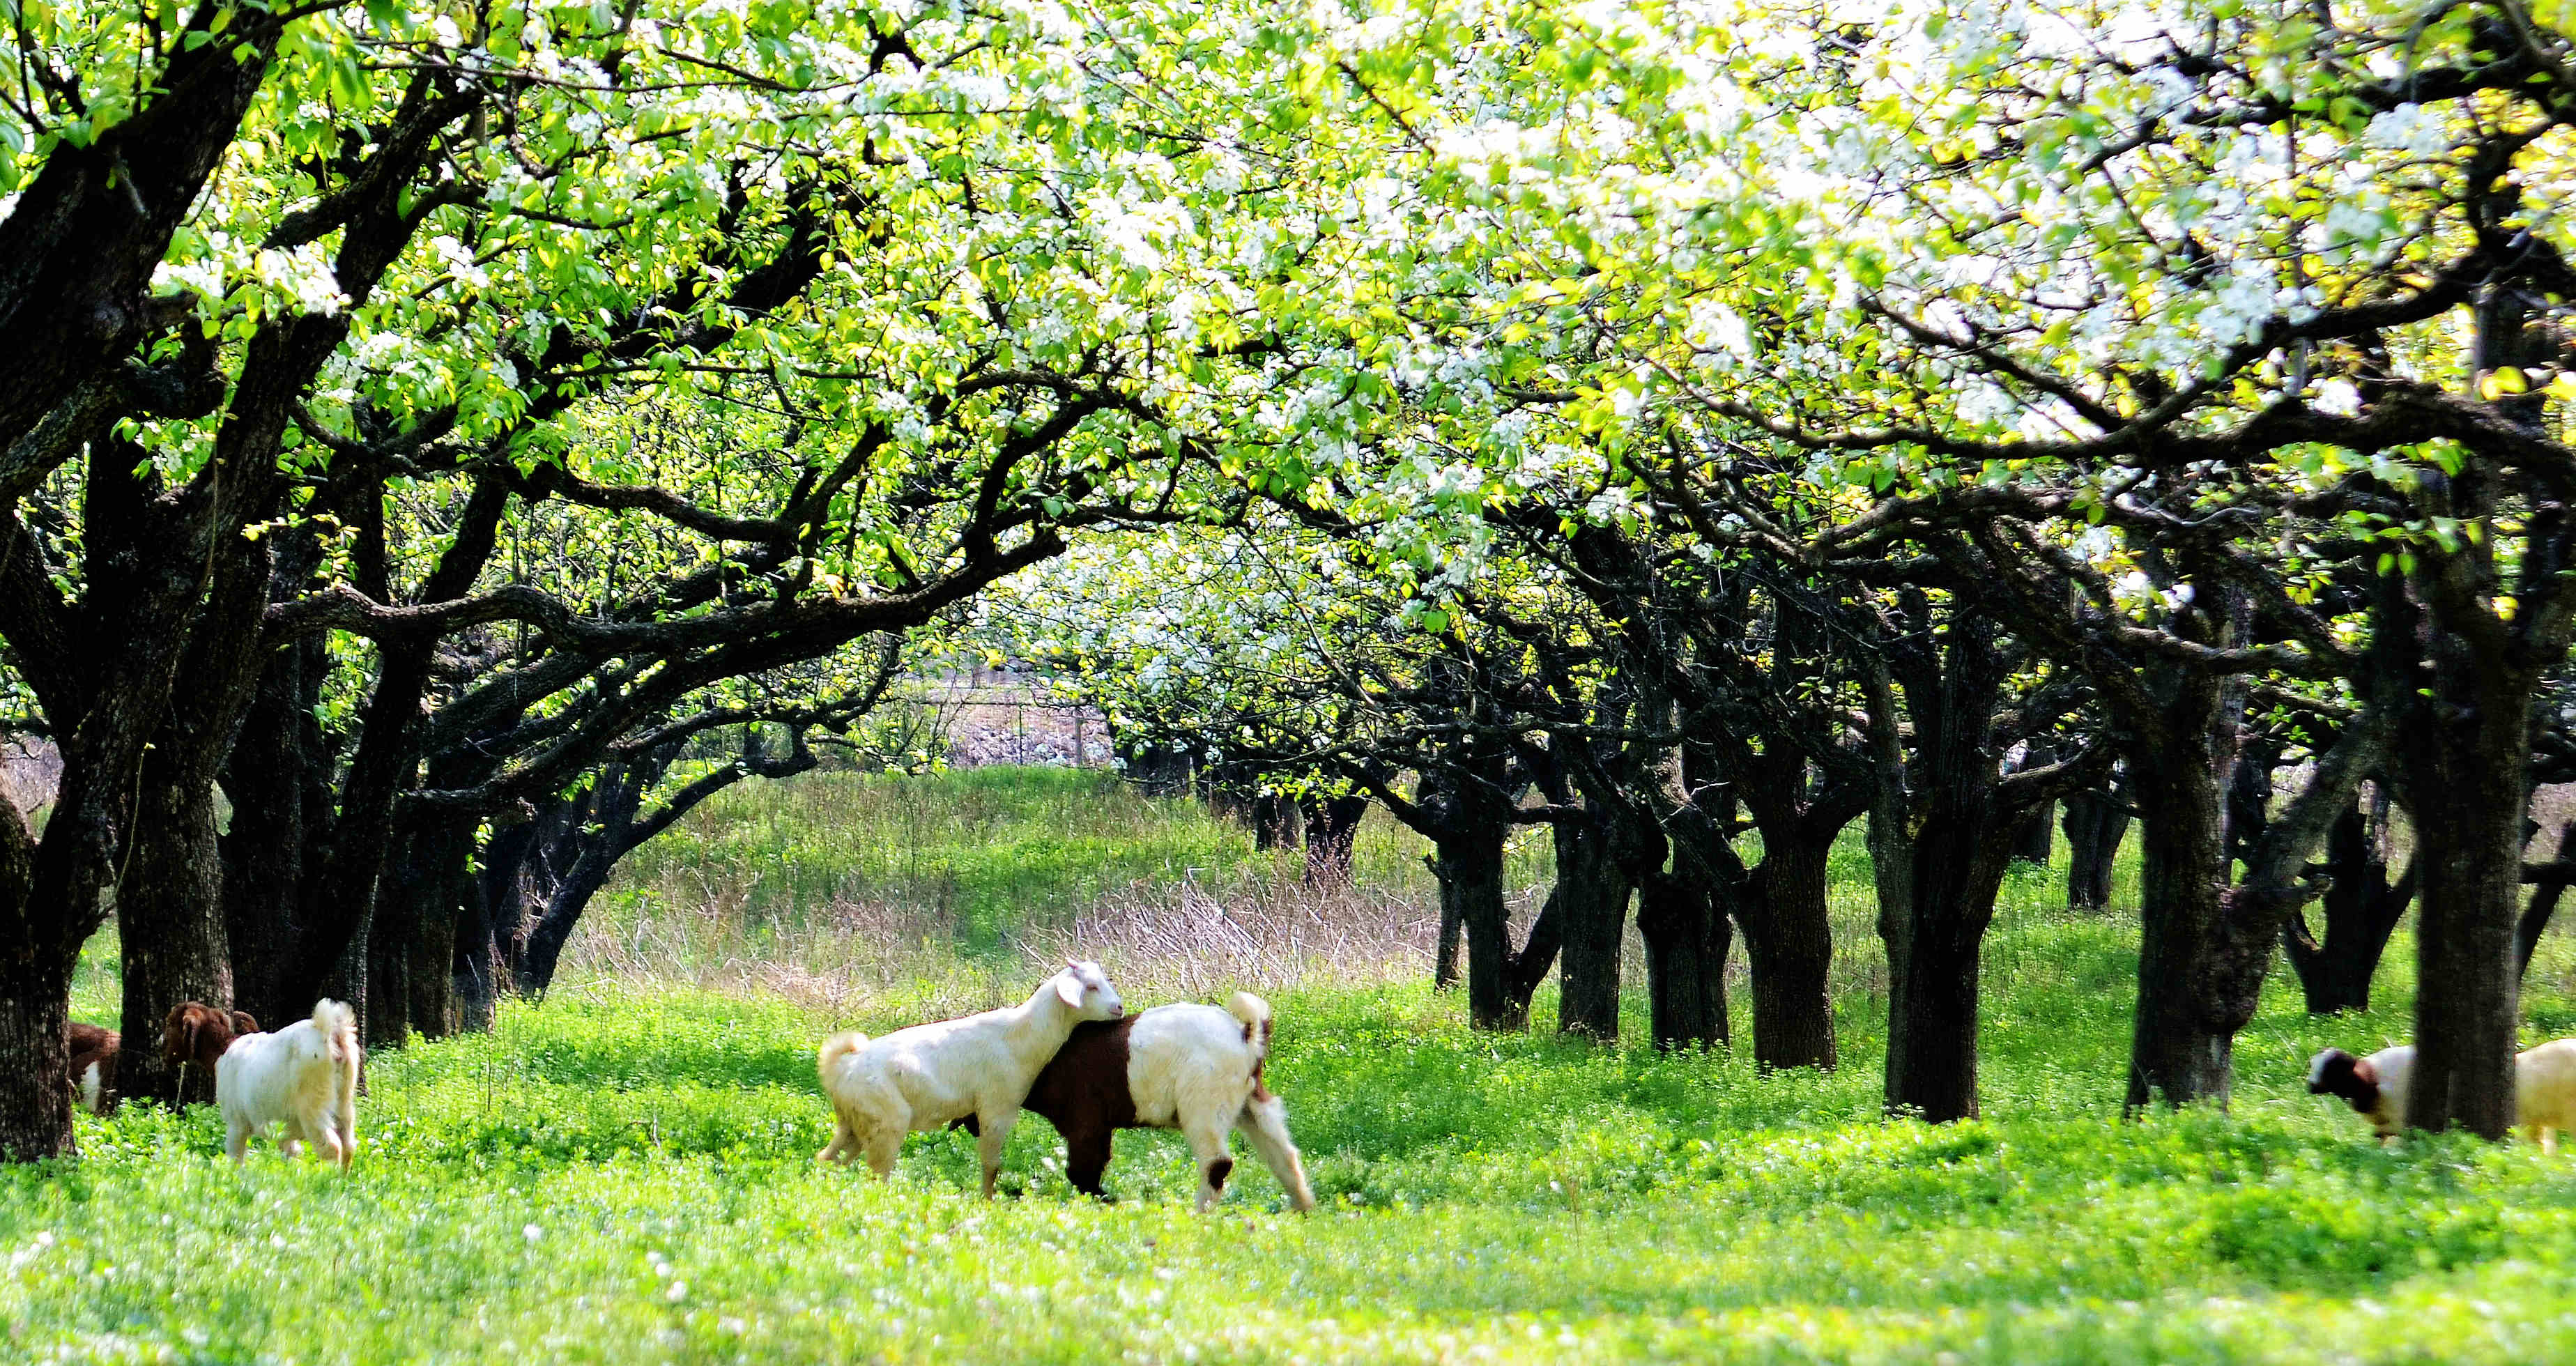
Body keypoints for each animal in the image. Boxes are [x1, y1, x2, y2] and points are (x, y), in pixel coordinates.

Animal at [217, 995, 363, 1165]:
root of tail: (327, 1030)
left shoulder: (236, 1123)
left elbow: (235, 1161)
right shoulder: (283, 1132)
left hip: (313, 1104)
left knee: (331, 1148)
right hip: (344, 1101)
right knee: (348, 1146)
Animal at [813, 958, 1118, 1190]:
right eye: (1091, 987)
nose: (1119, 1007)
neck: (1020, 1036)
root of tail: (840, 1069)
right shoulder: (996, 1110)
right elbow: (991, 1166)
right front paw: (987, 1201)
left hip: (853, 1125)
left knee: (829, 1160)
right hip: (886, 1124)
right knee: (876, 1174)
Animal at [968, 990, 1319, 1201]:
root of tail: (1246, 1036)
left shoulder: (1087, 1118)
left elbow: (1082, 1170)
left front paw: (1107, 1200)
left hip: (1204, 1098)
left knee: (1217, 1162)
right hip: (1251, 1099)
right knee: (1281, 1151)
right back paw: (1303, 1208)